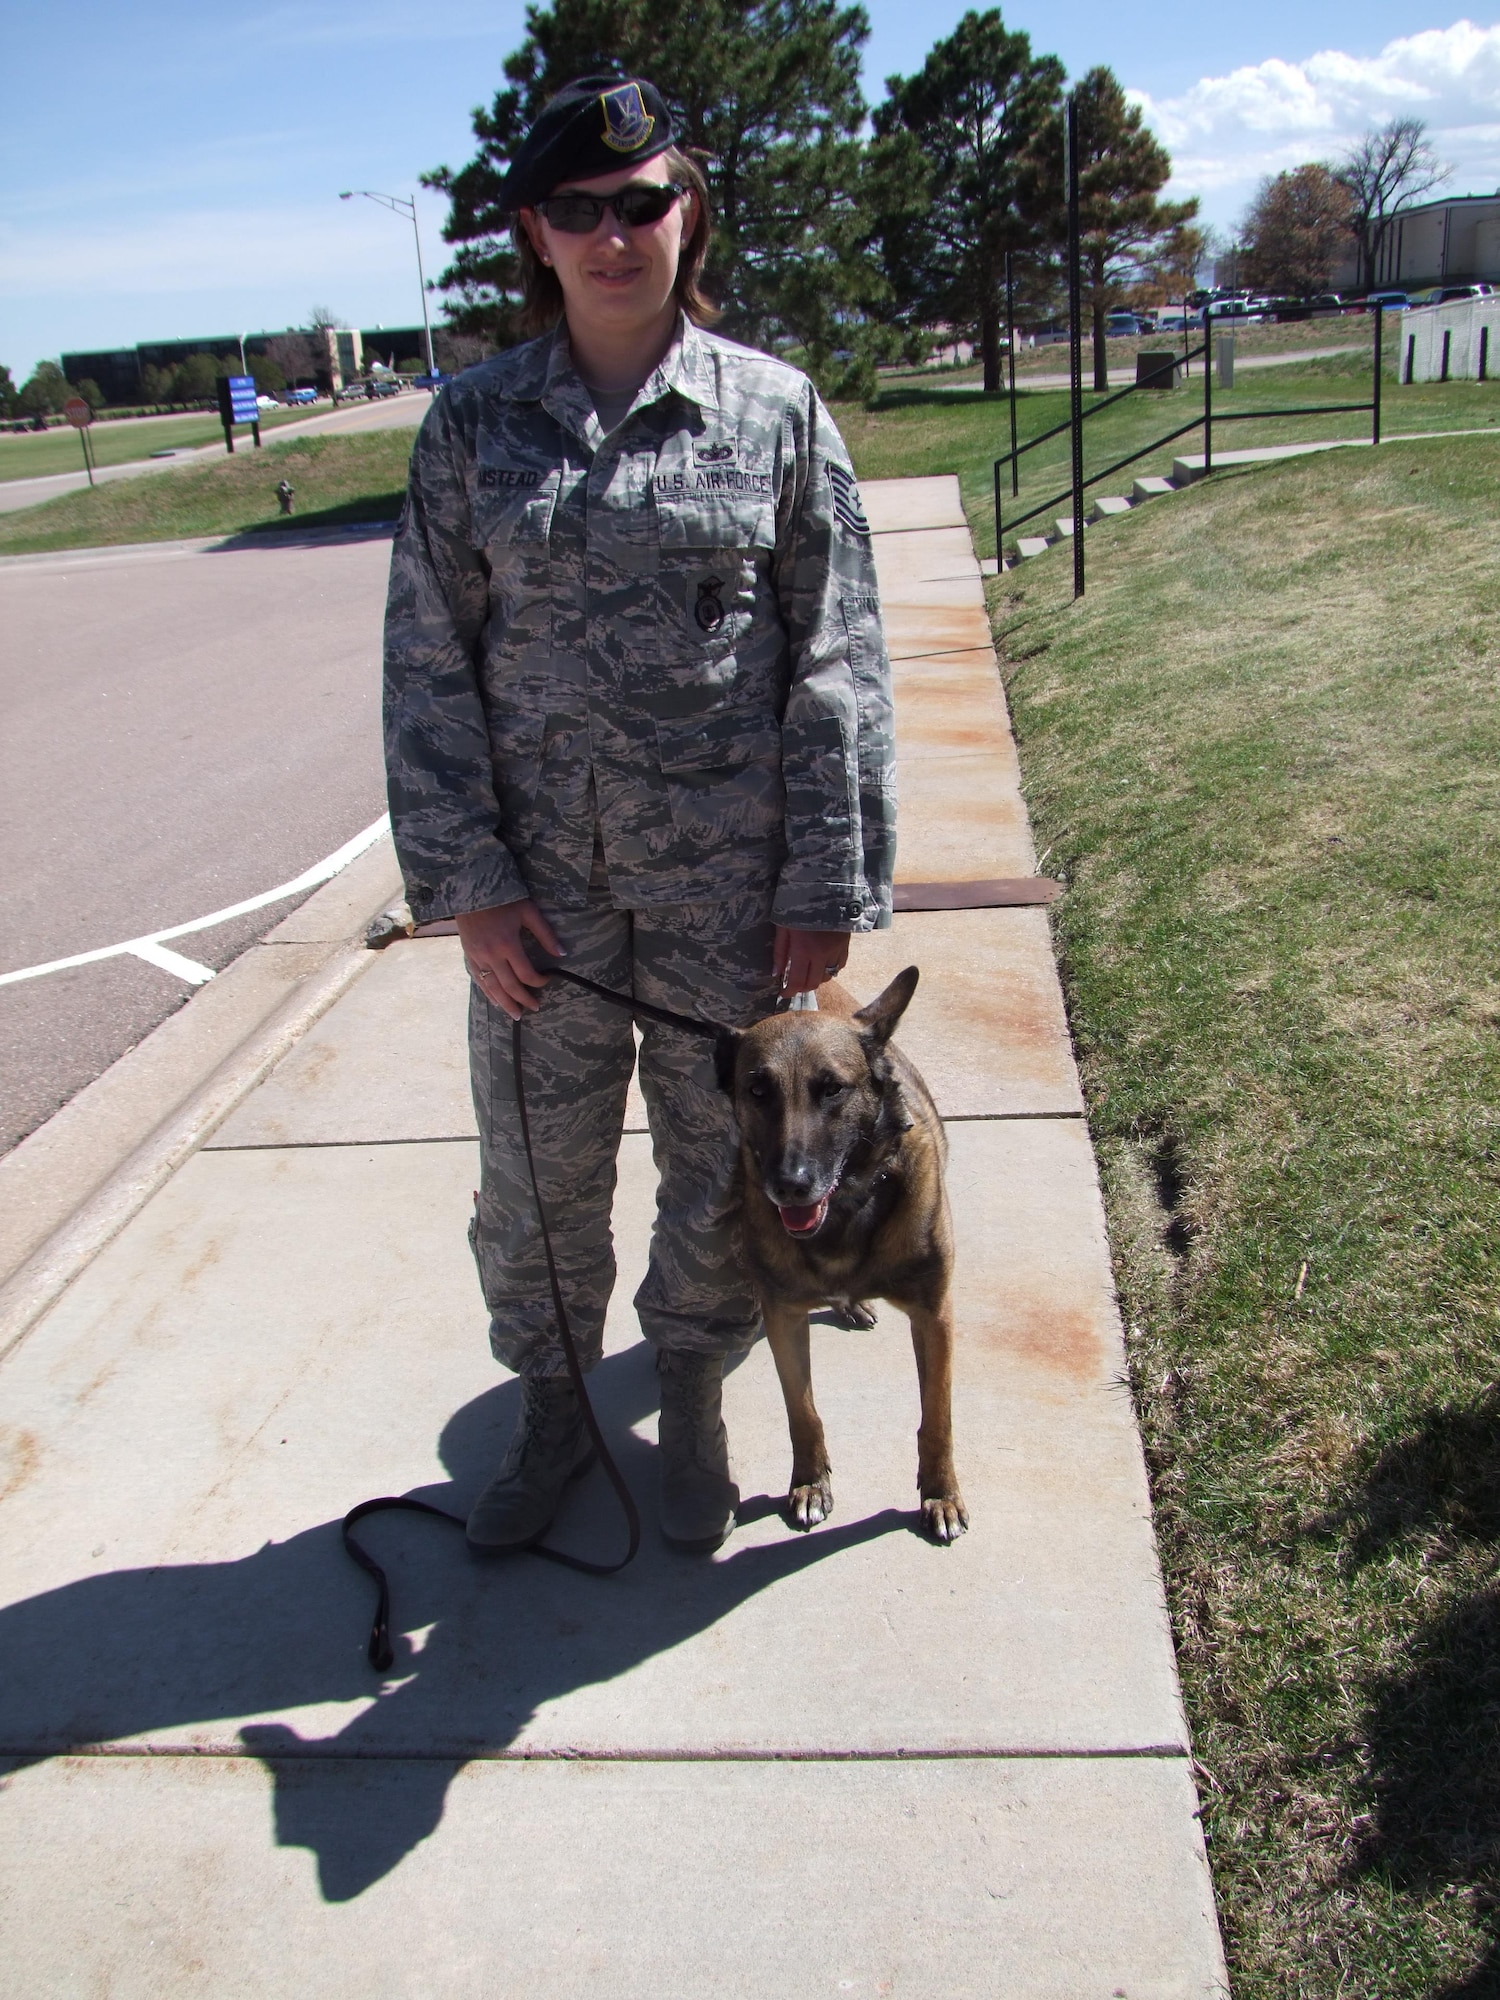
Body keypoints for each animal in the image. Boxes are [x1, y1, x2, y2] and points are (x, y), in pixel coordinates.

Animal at [720, 968, 968, 1544]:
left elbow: (938, 1416)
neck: (845, 1210)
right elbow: (802, 1410)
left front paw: (941, 1493)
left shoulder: (935, 1316)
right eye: (757, 1090)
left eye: (832, 1088)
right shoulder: (783, 1316)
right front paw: (810, 1483)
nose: (790, 1185)